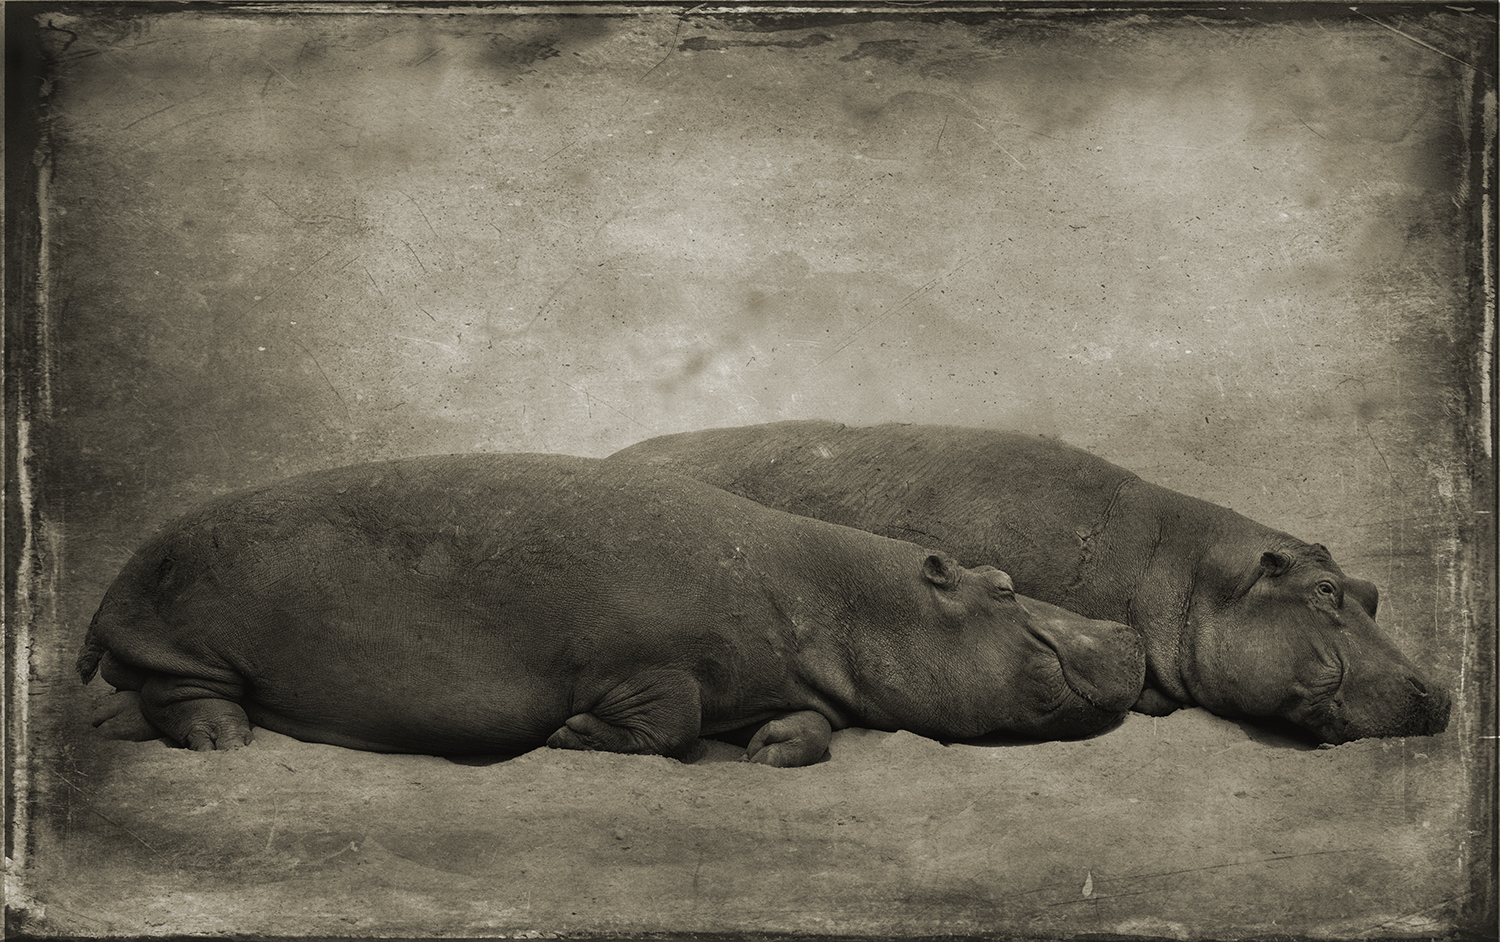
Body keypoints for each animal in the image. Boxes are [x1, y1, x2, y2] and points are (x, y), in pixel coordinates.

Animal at [76, 450, 1140, 765]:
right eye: (1003, 588)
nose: (1127, 629)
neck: (845, 602)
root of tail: (113, 584)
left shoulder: (789, 681)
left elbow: (806, 729)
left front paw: (768, 751)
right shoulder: (650, 658)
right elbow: (667, 720)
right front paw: (570, 737)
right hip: (183, 636)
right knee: (176, 695)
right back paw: (226, 745)